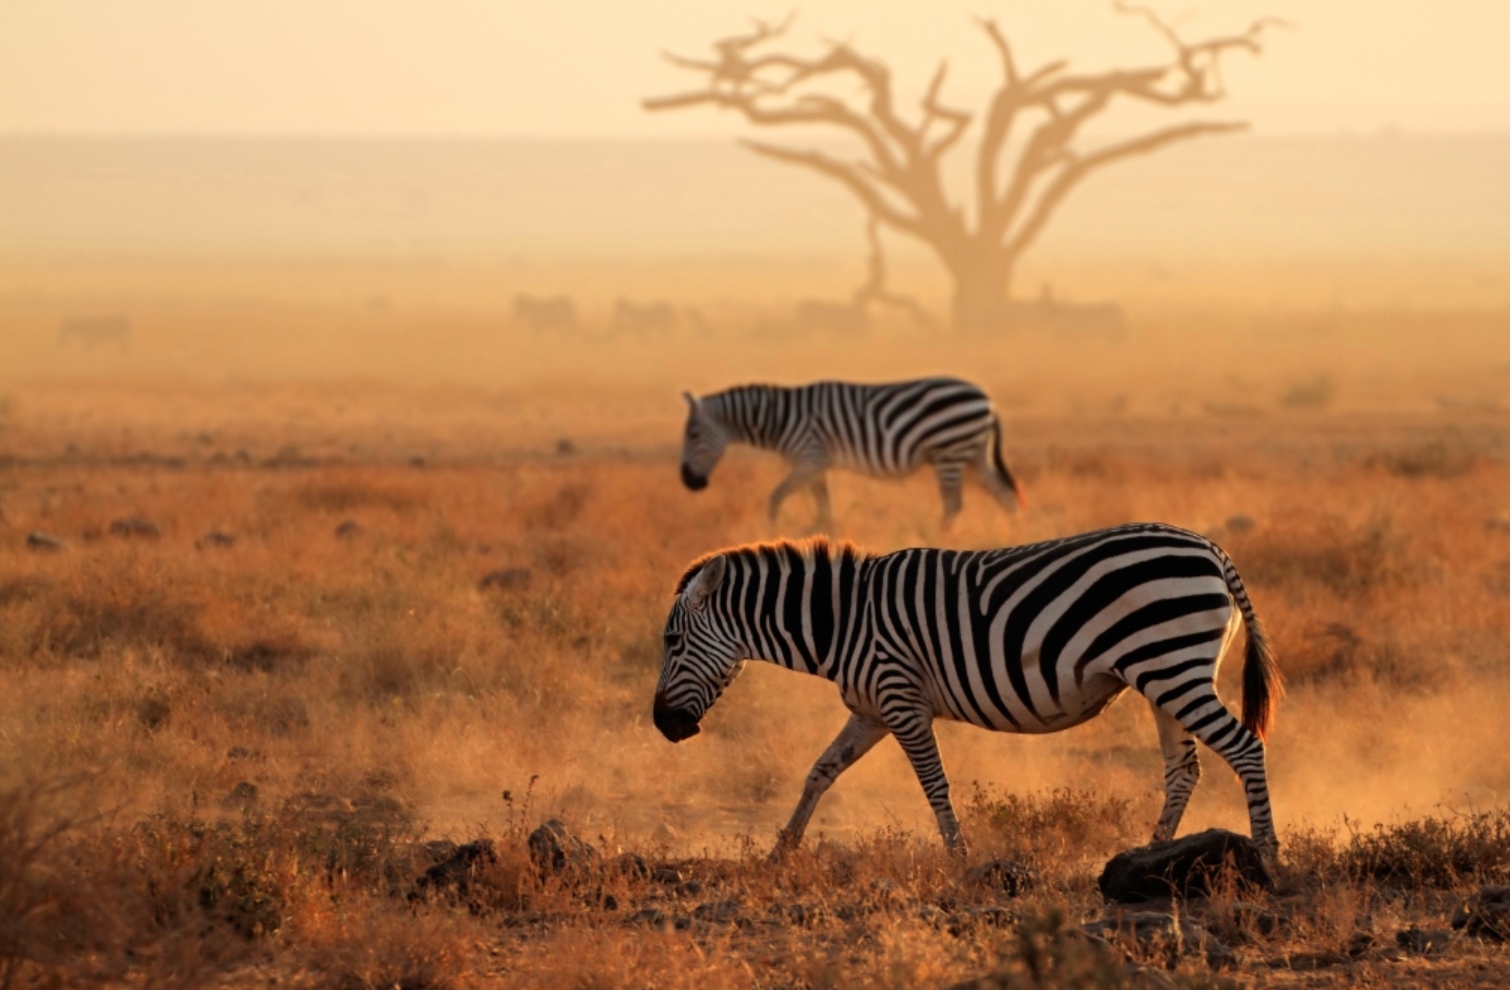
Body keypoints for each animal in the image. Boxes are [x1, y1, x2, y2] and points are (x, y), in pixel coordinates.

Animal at [652, 523, 1283, 858]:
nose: (663, 726)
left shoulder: (901, 700)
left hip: (1173, 666)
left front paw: (959, 858)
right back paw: (1151, 854)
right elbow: (820, 771)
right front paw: (781, 849)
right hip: (1163, 676)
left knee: (1245, 747)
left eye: (673, 641)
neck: (845, 621)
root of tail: (1211, 549)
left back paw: (1266, 856)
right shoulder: (871, 711)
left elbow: (934, 784)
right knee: (1183, 769)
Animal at [679, 377, 1024, 529]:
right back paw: (1014, 532)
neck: (781, 419)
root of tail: (988, 399)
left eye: (693, 434)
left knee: (954, 503)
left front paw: (771, 532)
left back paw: (938, 538)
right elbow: (824, 505)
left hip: (949, 450)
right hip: (974, 452)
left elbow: (776, 497)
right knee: (1004, 493)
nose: (688, 482)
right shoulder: (817, 464)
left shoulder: (811, 457)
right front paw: (823, 536)